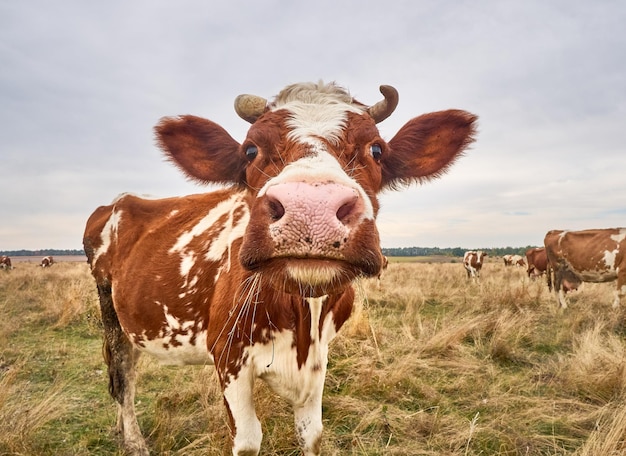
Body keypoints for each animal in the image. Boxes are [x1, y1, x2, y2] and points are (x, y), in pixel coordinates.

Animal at [80, 82, 476, 456]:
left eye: (377, 149)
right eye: (250, 150)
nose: (311, 208)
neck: (302, 321)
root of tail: (118, 201)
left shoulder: (318, 361)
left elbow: (312, 434)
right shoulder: (228, 356)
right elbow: (247, 440)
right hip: (109, 308)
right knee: (122, 377)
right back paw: (133, 441)